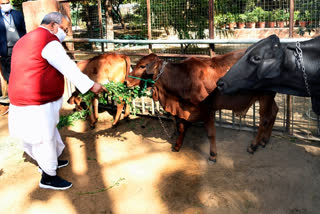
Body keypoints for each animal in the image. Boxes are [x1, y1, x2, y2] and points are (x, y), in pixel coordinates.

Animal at [126, 50, 278, 162]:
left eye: (142, 66)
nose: (126, 81)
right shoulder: (186, 109)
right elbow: (181, 127)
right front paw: (177, 146)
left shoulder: (207, 109)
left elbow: (210, 134)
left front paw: (213, 155)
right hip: (269, 96)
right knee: (274, 112)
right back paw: (265, 140)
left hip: (265, 95)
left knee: (264, 119)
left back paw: (253, 146)